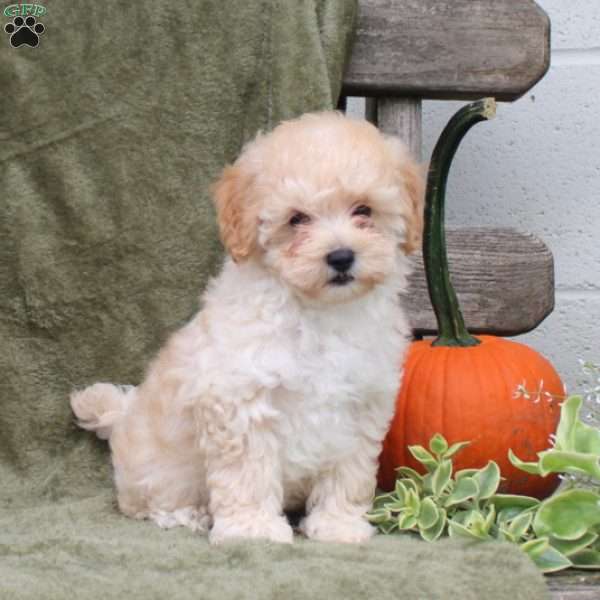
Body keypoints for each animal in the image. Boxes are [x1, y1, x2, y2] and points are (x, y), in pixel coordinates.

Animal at [71, 111, 422, 544]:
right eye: (297, 219)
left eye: (364, 210)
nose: (341, 257)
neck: (317, 312)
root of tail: (123, 416)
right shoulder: (240, 398)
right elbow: (248, 473)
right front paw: (253, 529)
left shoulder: (362, 402)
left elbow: (349, 471)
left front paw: (338, 524)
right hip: (157, 472)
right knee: (148, 502)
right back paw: (188, 515)